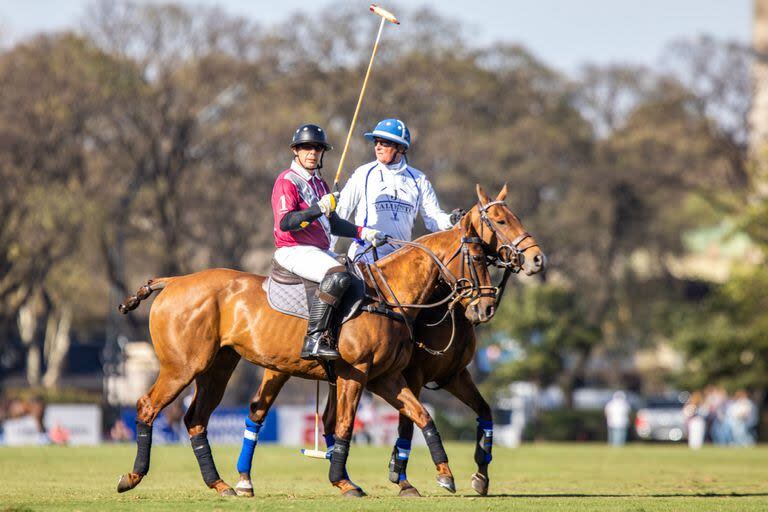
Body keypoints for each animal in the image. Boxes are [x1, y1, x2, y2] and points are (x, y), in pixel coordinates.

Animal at [114, 187, 498, 496]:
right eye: (478, 257)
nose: (486, 306)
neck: (386, 296)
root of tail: (173, 281)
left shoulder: (385, 377)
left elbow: (422, 416)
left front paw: (445, 475)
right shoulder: (355, 374)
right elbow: (344, 425)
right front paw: (343, 482)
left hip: (218, 367)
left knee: (196, 418)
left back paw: (220, 484)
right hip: (182, 365)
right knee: (147, 407)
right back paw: (132, 477)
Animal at [236, 184, 544, 496]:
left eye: (515, 217)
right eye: (500, 221)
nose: (537, 259)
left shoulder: (453, 374)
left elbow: (481, 411)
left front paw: (480, 475)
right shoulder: (406, 374)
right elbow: (404, 425)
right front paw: (402, 477)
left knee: (299, 417)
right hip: (284, 369)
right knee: (263, 414)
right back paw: (248, 480)